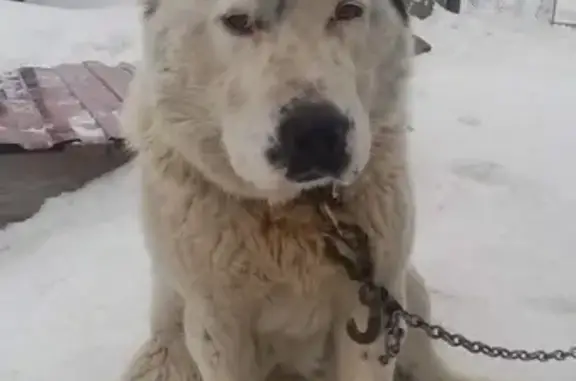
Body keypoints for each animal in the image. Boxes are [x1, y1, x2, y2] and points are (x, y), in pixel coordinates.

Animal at [121, 0, 476, 380]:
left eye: (348, 11)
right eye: (238, 21)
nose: (317, 133)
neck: (297, 213)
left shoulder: (371, 307)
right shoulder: (217, 324)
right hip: (164, 354)